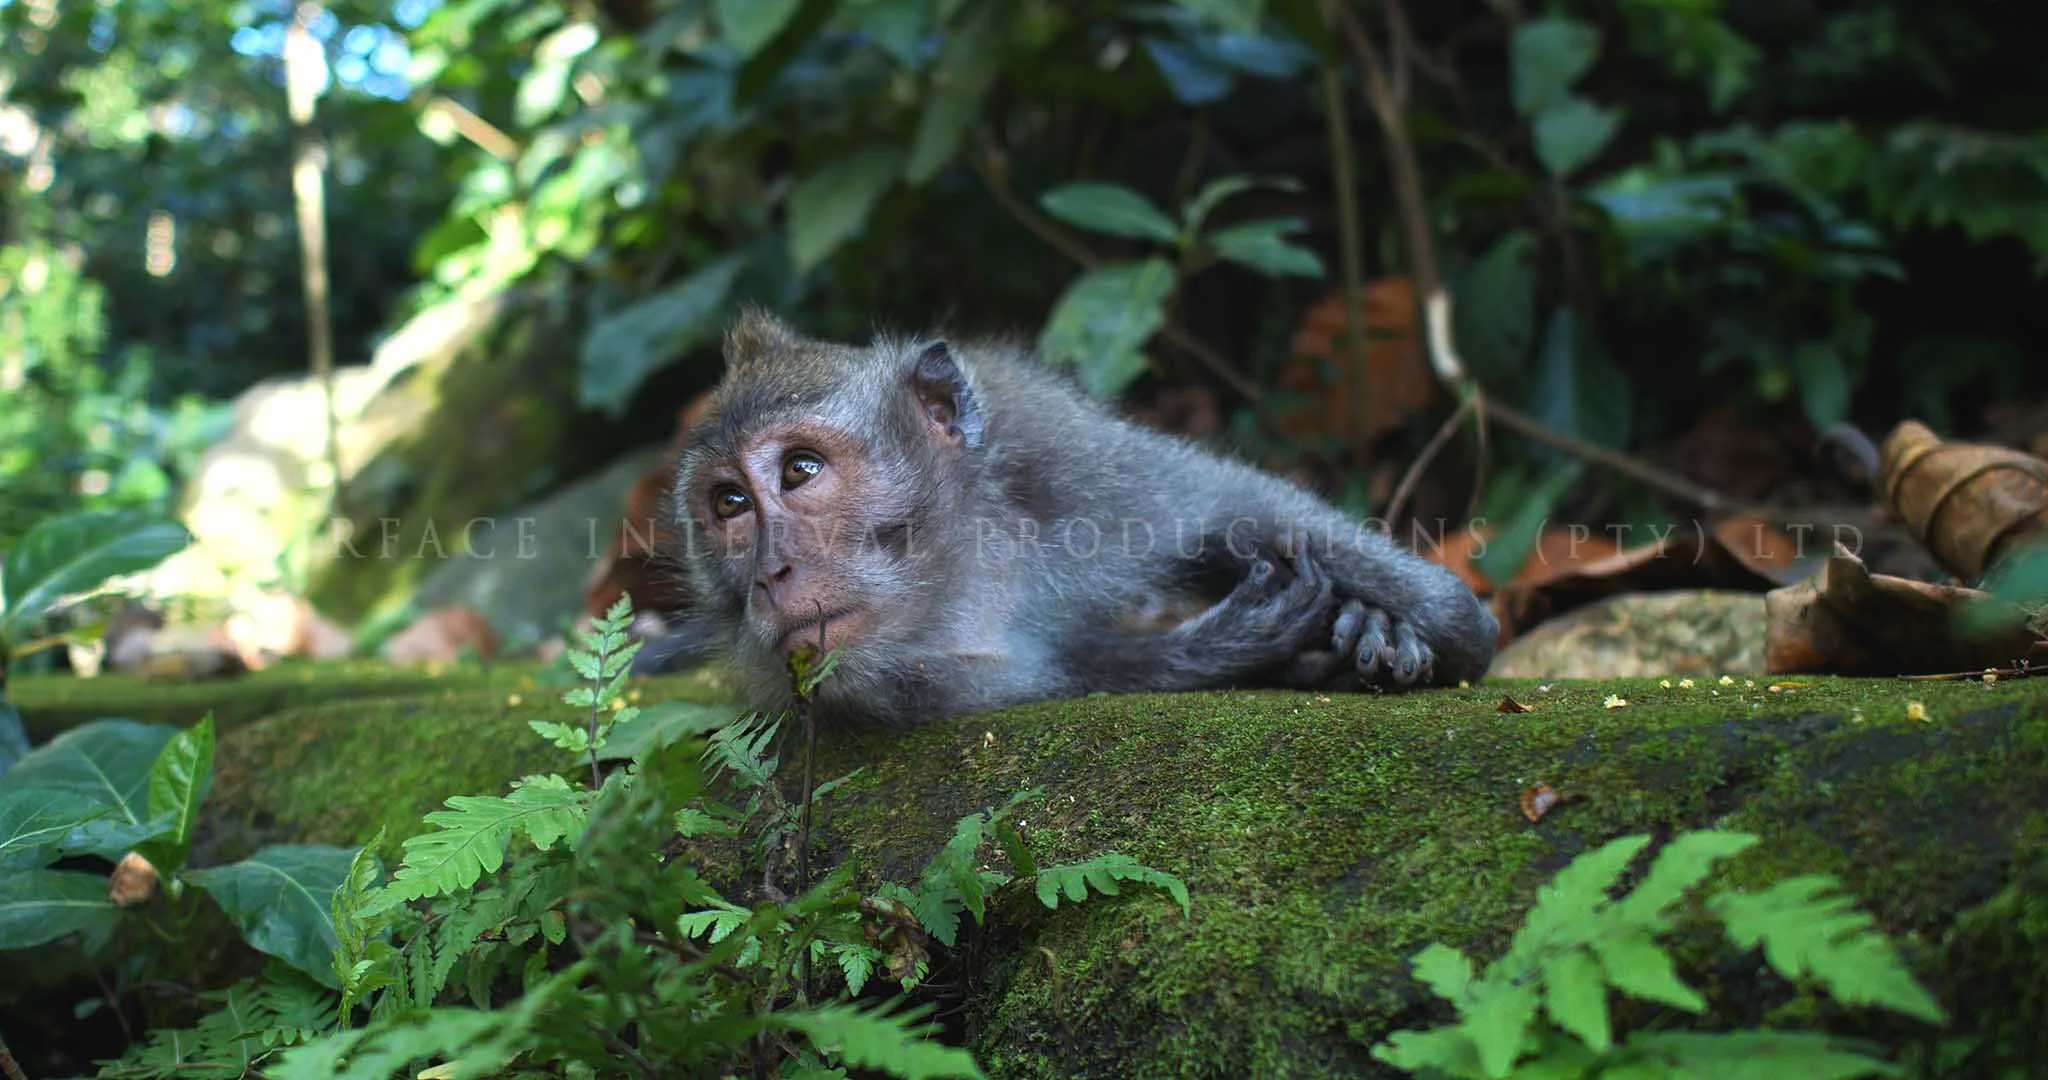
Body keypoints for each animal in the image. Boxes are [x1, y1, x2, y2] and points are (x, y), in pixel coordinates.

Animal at [639, 309, 1499, 726]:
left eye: (800, 471)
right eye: (729, 504)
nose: (772, 573)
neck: (964, 560)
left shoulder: (1060, 454)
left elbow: (1232, 508)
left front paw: (1440, 623)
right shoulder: (884, 681)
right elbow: (1057, 674)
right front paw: (1235, 648)